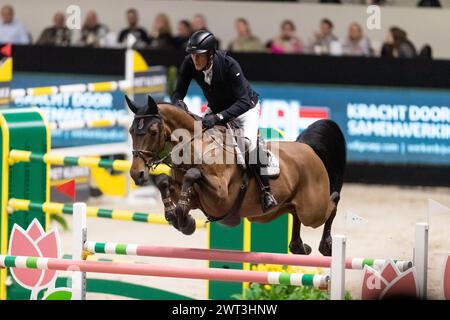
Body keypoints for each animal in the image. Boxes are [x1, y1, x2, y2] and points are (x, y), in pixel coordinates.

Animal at [125, 94, 346, 255]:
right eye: (130, 131)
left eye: (153, 132)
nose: (137, 174)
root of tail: (308, 149)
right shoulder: (195, 197)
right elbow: (165, 181)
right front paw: (178, 217)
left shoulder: (221, 198)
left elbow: (193, 175)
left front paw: (182, 218)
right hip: (282, 209)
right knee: (295, 212)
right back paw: (299, 246)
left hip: (313, 210)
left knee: (332, 204)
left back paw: (327, 244)